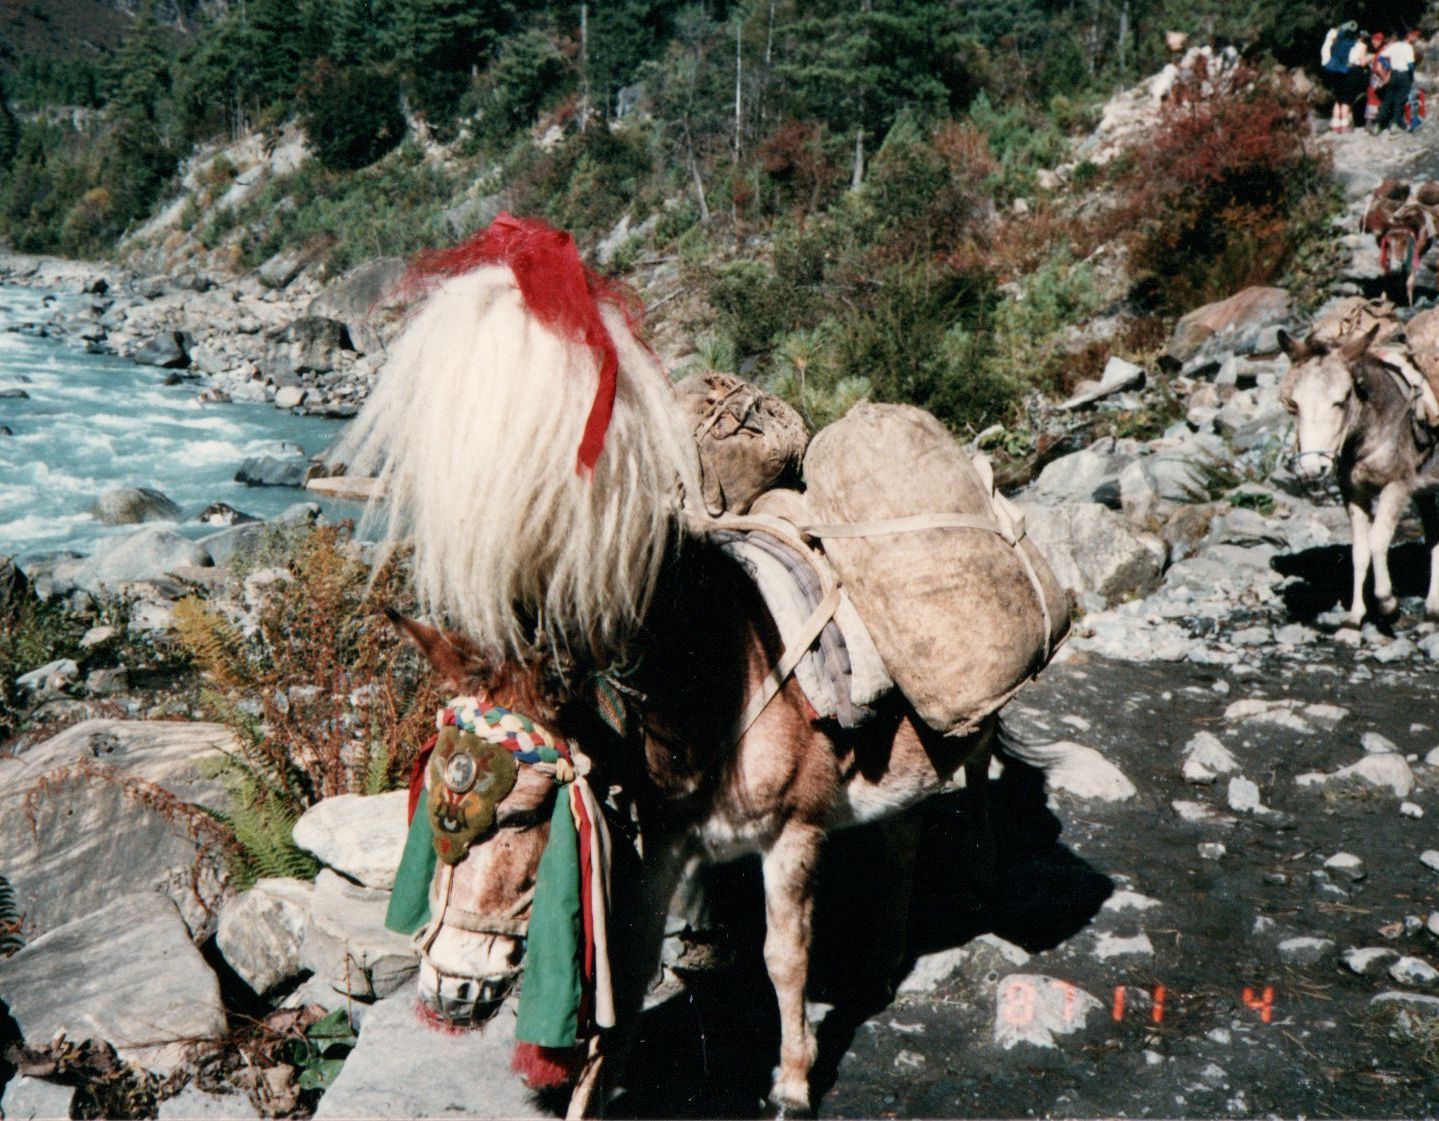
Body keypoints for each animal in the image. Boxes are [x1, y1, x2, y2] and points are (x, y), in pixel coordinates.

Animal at [342, 214, 1007, 1116]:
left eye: (523, 813)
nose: (446, 995)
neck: (703, 684)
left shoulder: (794, 835)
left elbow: (784, 960)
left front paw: (791, 1080)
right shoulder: (660, 848)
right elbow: (626, 978)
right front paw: (593, 1091)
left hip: (972, 720)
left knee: (972, 788)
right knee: (901, 830)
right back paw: (883, 958)